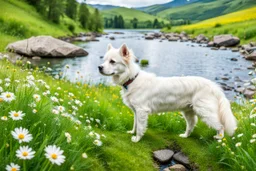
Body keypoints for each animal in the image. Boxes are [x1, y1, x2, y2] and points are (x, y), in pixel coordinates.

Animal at [98, 43, 238, 142]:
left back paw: (219, 138)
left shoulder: (142, 111)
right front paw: (132, 132)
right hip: (188, 112)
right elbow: (135, 124)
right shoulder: (136, 111)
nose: (99, 67)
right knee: (191, 125)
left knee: (220, 126)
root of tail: (214, 86)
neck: (132, 79)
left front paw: (137, 139)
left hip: (205, 112)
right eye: (104, 60)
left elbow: (140, 127)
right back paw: (185, 136)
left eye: (112, 61)